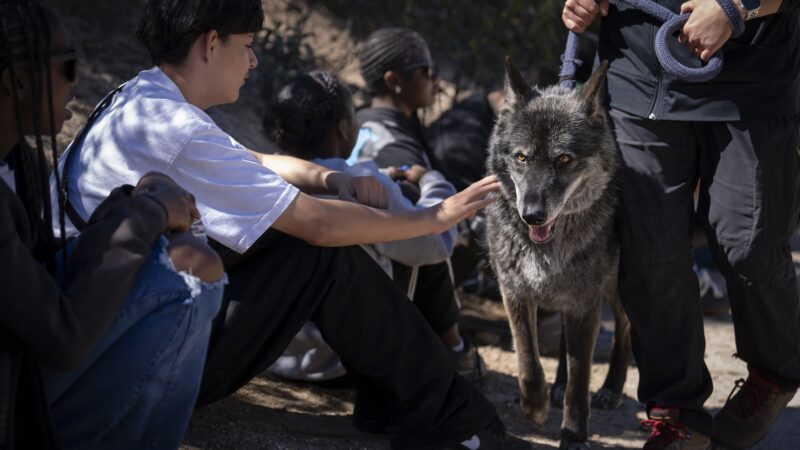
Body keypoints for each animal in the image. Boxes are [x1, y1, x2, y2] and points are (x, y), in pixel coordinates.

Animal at [485, 58, 632, 448]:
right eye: (521, 157)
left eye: (564, 159)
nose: (532, 215)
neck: (547, 247)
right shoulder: (514, 292)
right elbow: (528, 362)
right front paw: (535, 406)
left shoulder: (586, 301)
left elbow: (581, 379)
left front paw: (574, 434)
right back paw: (558, 385)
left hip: (619, 286)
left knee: (625, 327)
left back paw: (612, 388)